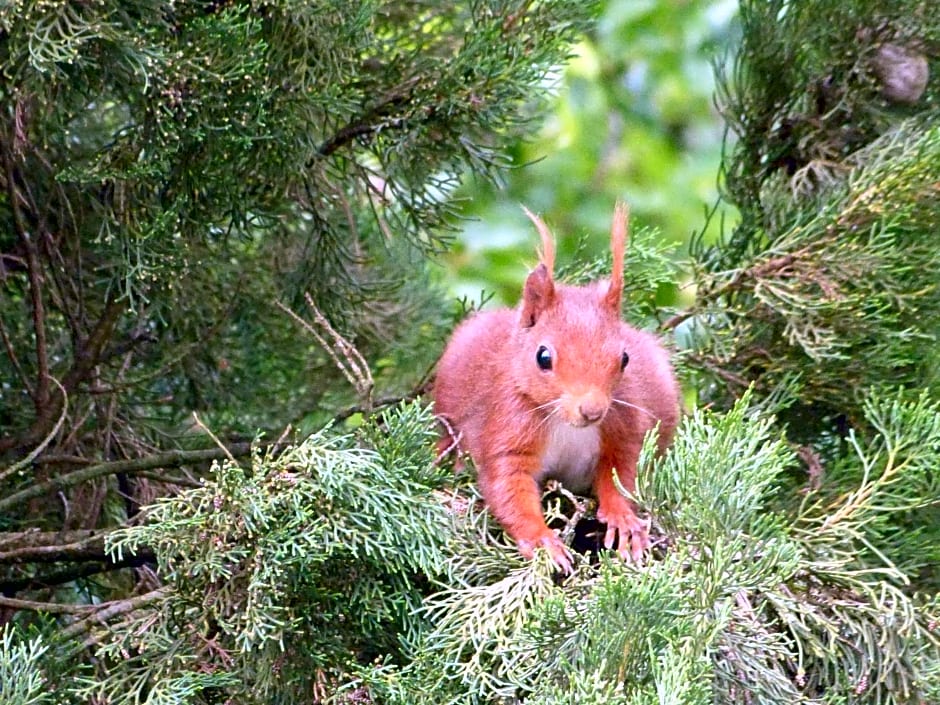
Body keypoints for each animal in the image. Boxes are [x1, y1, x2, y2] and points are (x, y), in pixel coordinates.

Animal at [434, 204, 676, 572]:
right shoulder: (507, 428)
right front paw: (541, 540)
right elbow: (508, 487)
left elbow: (621, 473)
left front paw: (622, 519)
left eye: (624, 358)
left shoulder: (623, 426)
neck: (567, 425)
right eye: (543, 356)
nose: (592, 411)